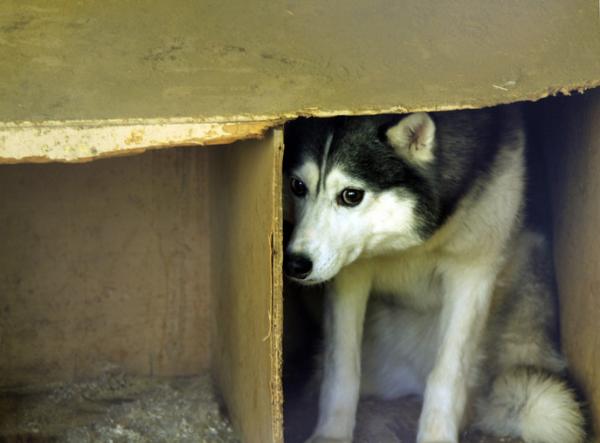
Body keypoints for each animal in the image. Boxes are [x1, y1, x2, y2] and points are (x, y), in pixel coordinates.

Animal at [284, 108, 584, 443]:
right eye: (297, 186)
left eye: (351, 195)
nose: (295, 264)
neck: (411, 245)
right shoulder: (349, 272)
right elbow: (342, 366)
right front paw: (331, 434)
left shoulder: (472, 270)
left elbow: (447, 373)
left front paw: (436, 435)